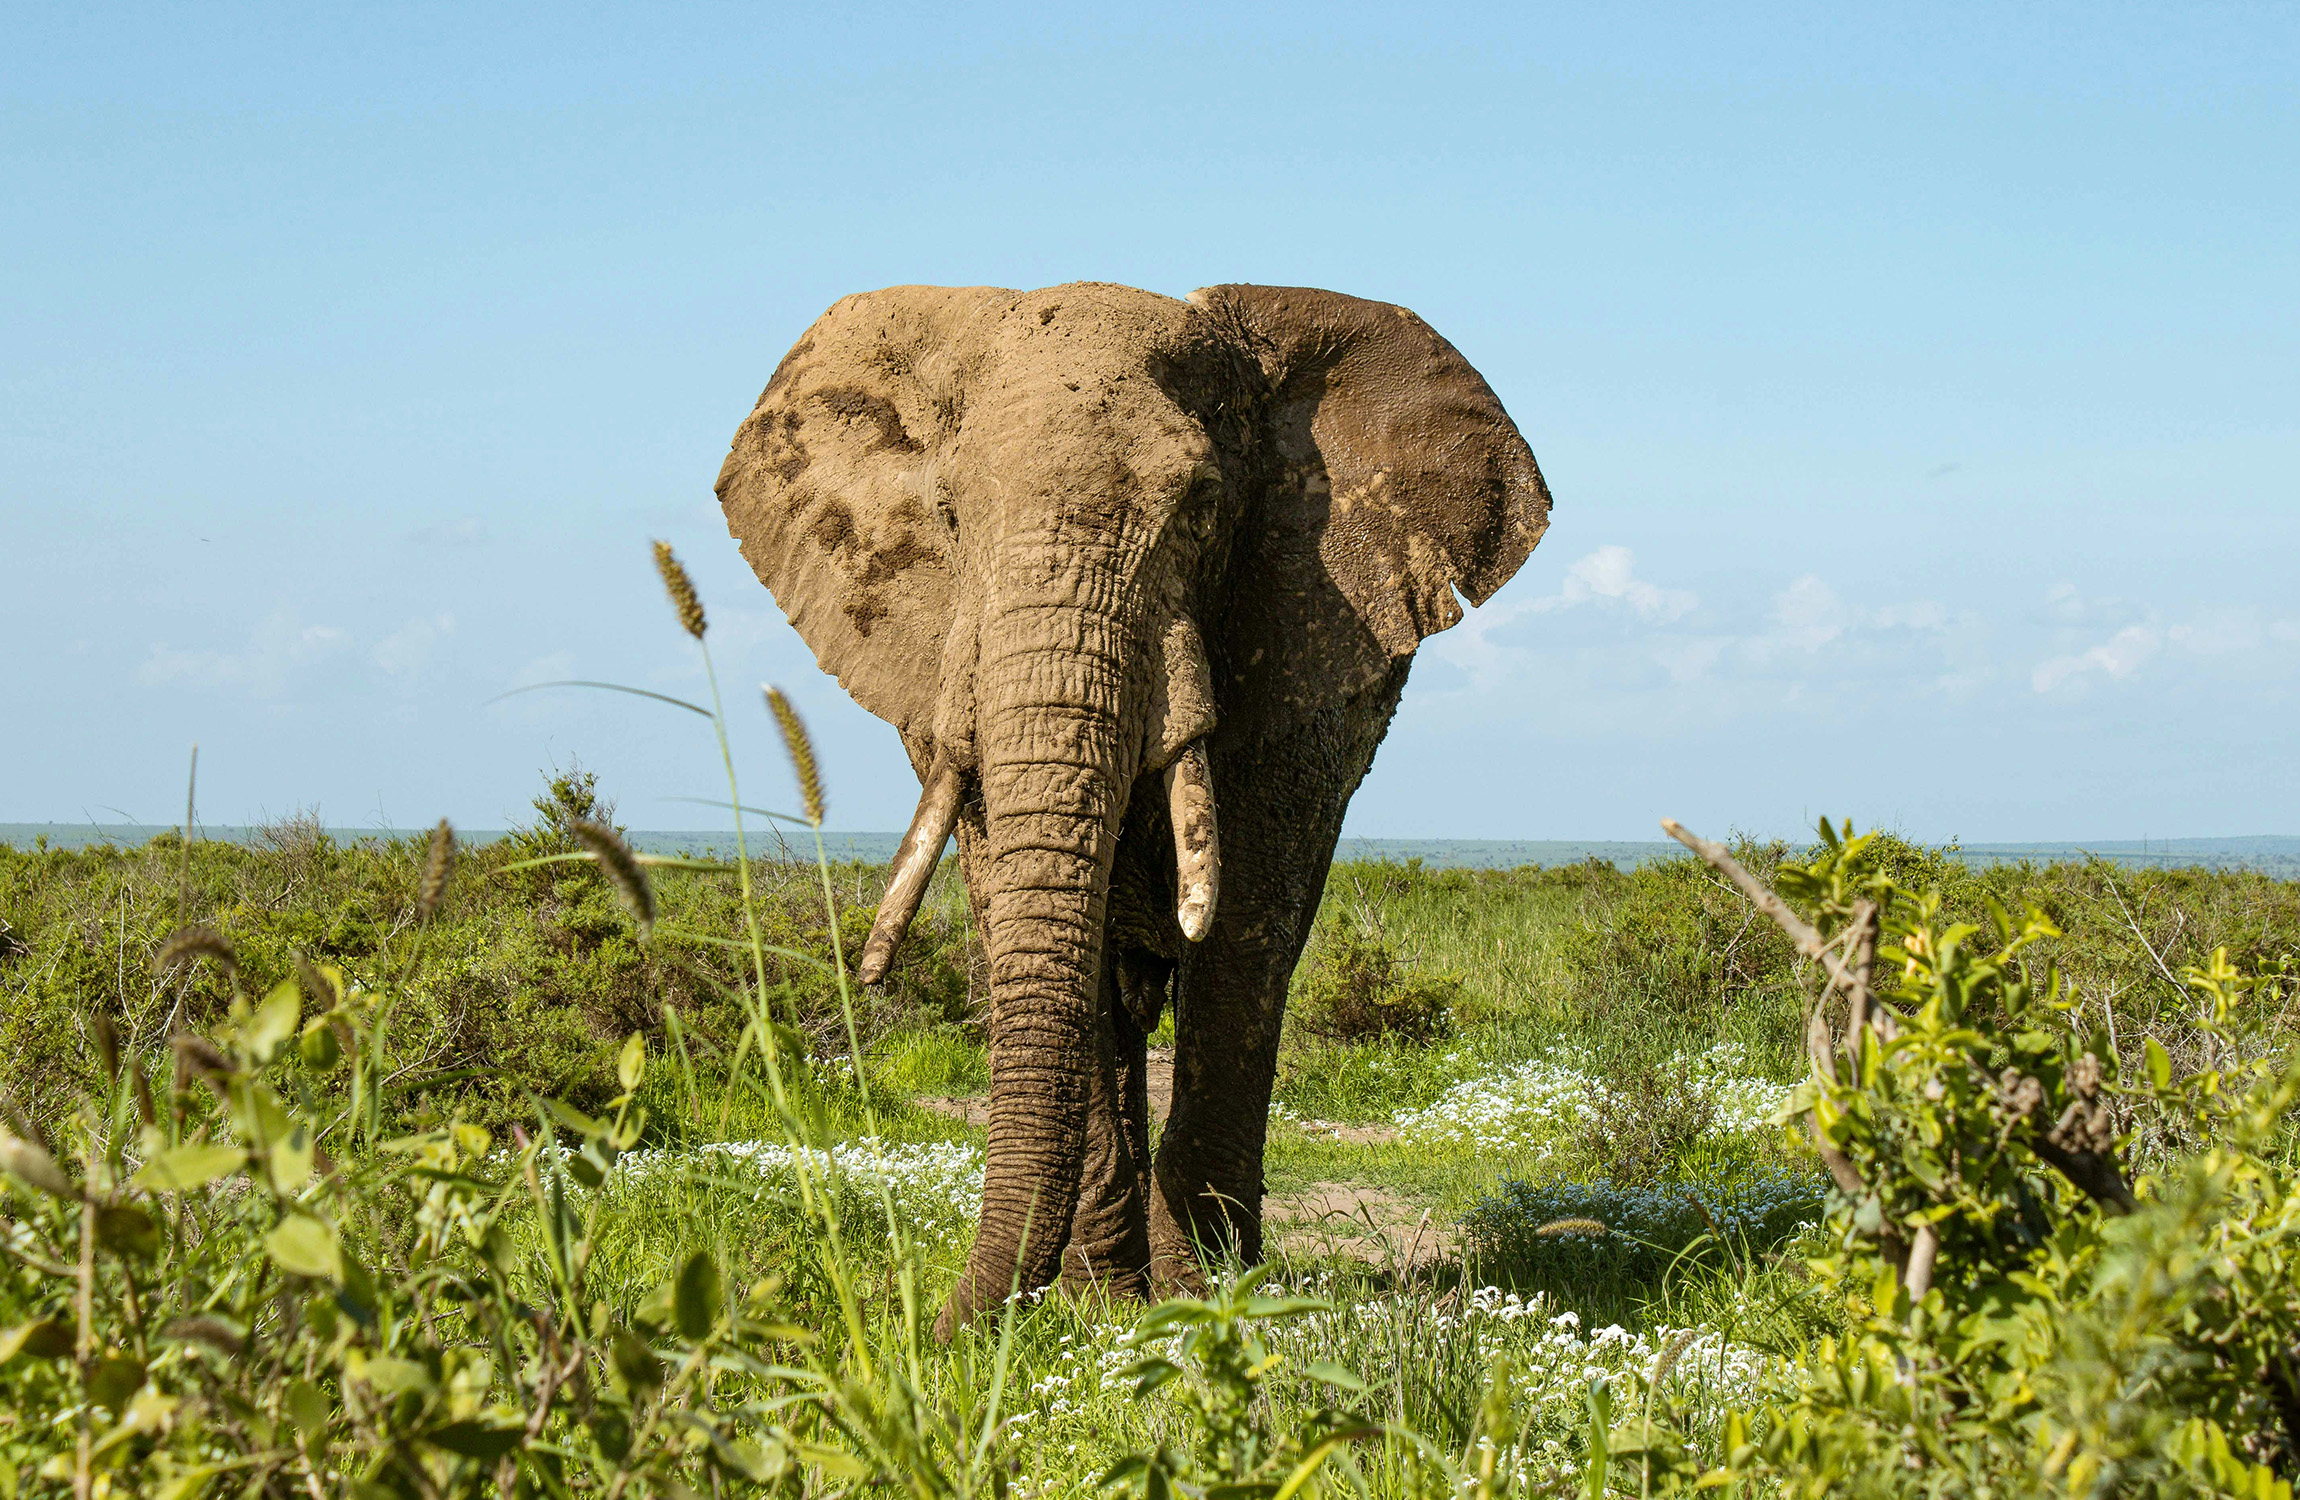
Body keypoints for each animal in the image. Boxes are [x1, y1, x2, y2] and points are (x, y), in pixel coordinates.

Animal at [715, 281, 1551, 1335]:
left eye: (1203, 508)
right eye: (949, 514)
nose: (937, 1328)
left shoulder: (1297, 651)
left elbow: (1241, 941)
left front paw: (1208, 1302)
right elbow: (1022, 917)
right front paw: (1098, 1308)